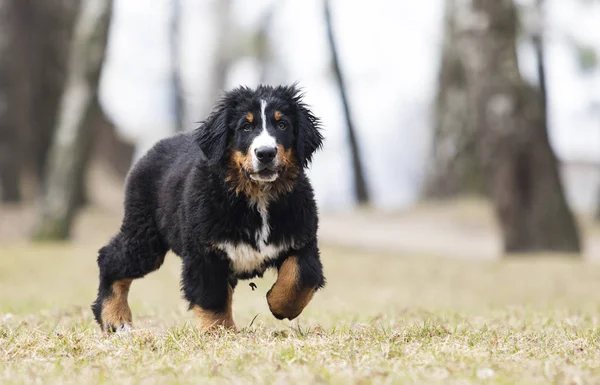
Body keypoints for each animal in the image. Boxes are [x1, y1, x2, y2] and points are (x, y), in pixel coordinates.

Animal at [91, 84, 326, 330]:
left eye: (282, 125)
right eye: (246, 126)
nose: (265, 153)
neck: (258, 195)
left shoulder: (302, 240)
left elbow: (301, 277)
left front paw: (278, 305)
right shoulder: (204, 251)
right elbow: (212, 297)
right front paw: (220, 332)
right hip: (145, 237)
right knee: (110, 259)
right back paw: (115, 319)